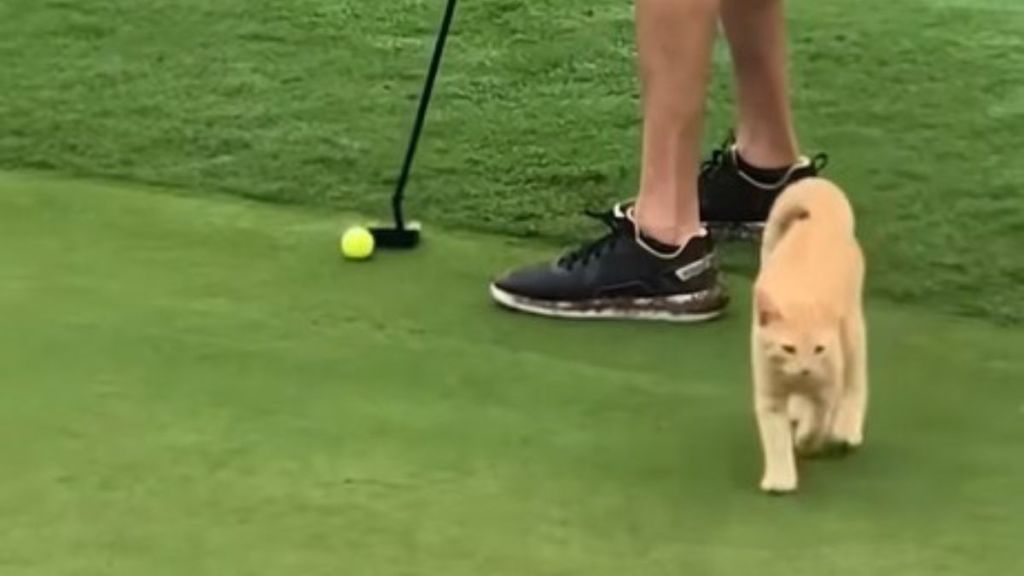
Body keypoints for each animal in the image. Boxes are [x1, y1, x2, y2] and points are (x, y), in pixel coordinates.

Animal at [753, 177, 864, 491]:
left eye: (819, 349)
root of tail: (820, 217)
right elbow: (776, 440)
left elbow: (818, 422)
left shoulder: (827, 391)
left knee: (856, 384)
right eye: (788, 348)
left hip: (853, 335)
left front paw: (806, 440)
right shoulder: (769, 396)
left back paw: (847, 430)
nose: (805, 370)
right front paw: (780, 480)